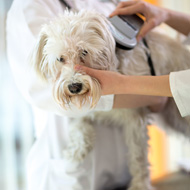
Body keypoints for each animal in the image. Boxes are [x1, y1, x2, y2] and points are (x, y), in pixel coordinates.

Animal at [30, 10, 190, 190]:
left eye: (84, 52)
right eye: (60, 59)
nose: (74, 87)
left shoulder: (136, 118)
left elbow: (138, 157)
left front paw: (140, 184)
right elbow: (78, 124)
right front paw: (77, 150)